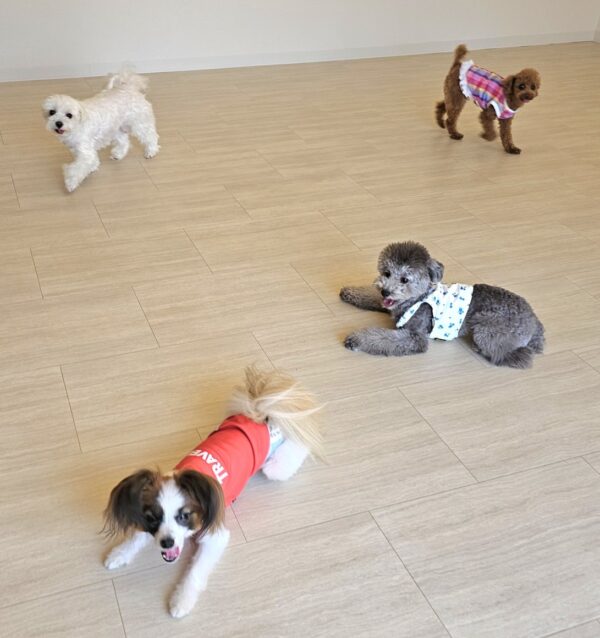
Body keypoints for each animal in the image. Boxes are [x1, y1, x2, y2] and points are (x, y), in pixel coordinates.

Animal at [103, 366, 323, 618]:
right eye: (152, 518)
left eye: (184, 516)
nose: (167, 543)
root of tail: (264, 416)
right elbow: (137, 537)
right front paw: (120, 554)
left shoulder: (216, 536)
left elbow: (195, 572)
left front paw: (181, 601)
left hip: (277, 465)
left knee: (300, 444)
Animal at [340, 241, 544, 368]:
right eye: (387, 273)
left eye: (405, 279)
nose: (385, 291)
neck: (418, 298)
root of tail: (534, 320)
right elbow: (371, 297)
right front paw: (350, 292)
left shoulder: (415, 337)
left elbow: (381, 337)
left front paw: (356, 339)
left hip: (486, 330)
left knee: (514, 356)